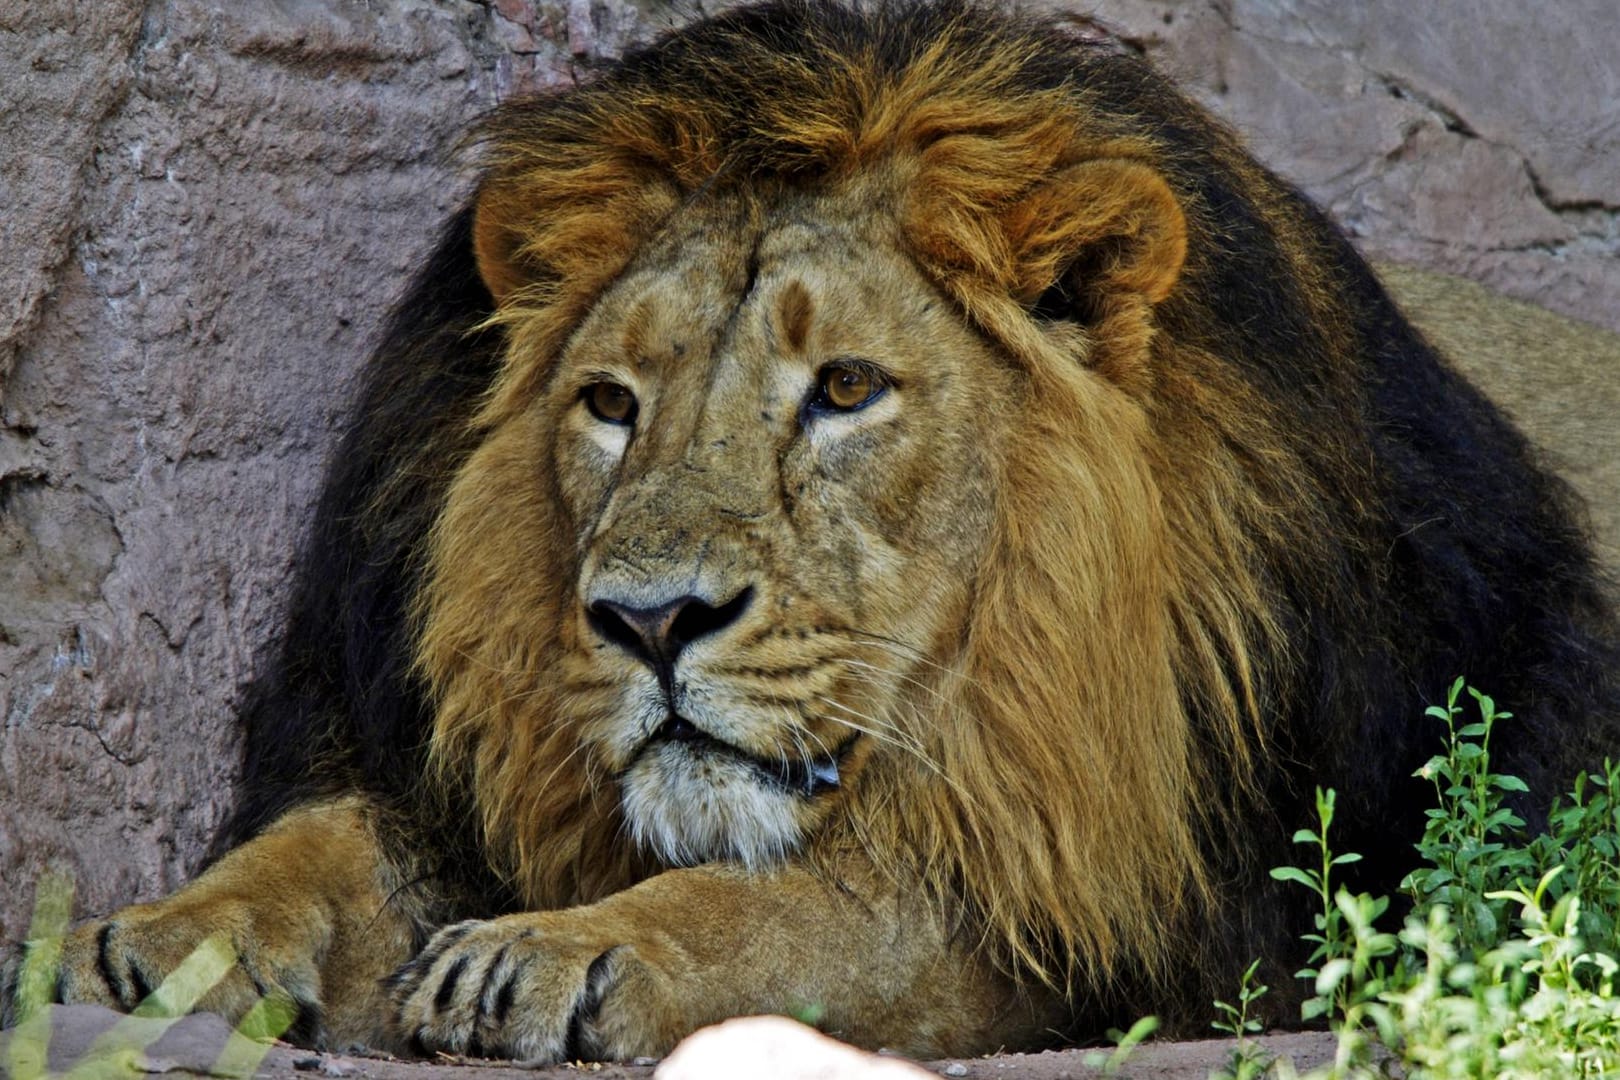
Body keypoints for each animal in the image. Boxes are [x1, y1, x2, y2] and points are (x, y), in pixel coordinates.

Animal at [3, 0, 1620, 1062]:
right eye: (610, 403)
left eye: (844, 388)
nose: (650, 622)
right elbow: (324, 842)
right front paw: (152, 941)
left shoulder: (1125, 895)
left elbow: (827, 908)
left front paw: (568, 947)